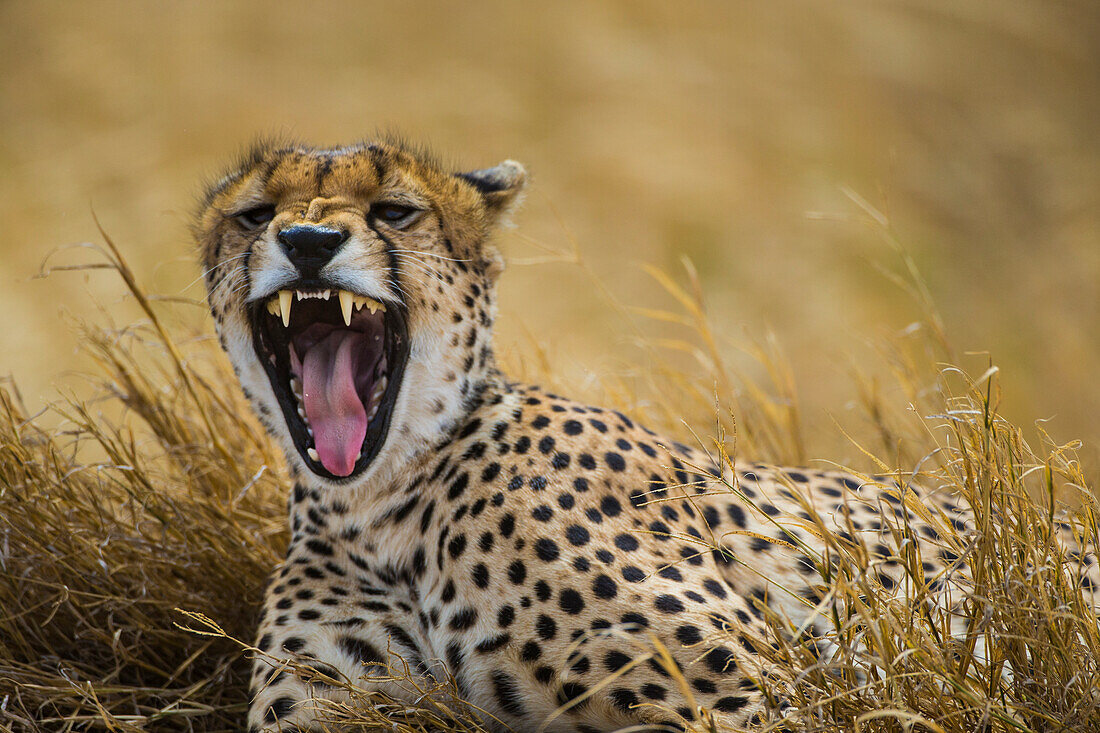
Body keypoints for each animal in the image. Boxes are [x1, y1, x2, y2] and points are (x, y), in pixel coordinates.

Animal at [193, 139, 1095, 726]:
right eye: (255, 214)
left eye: (394, 210)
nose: (308, 240)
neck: (384, 503)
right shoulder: (340, 706)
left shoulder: (751, 695)